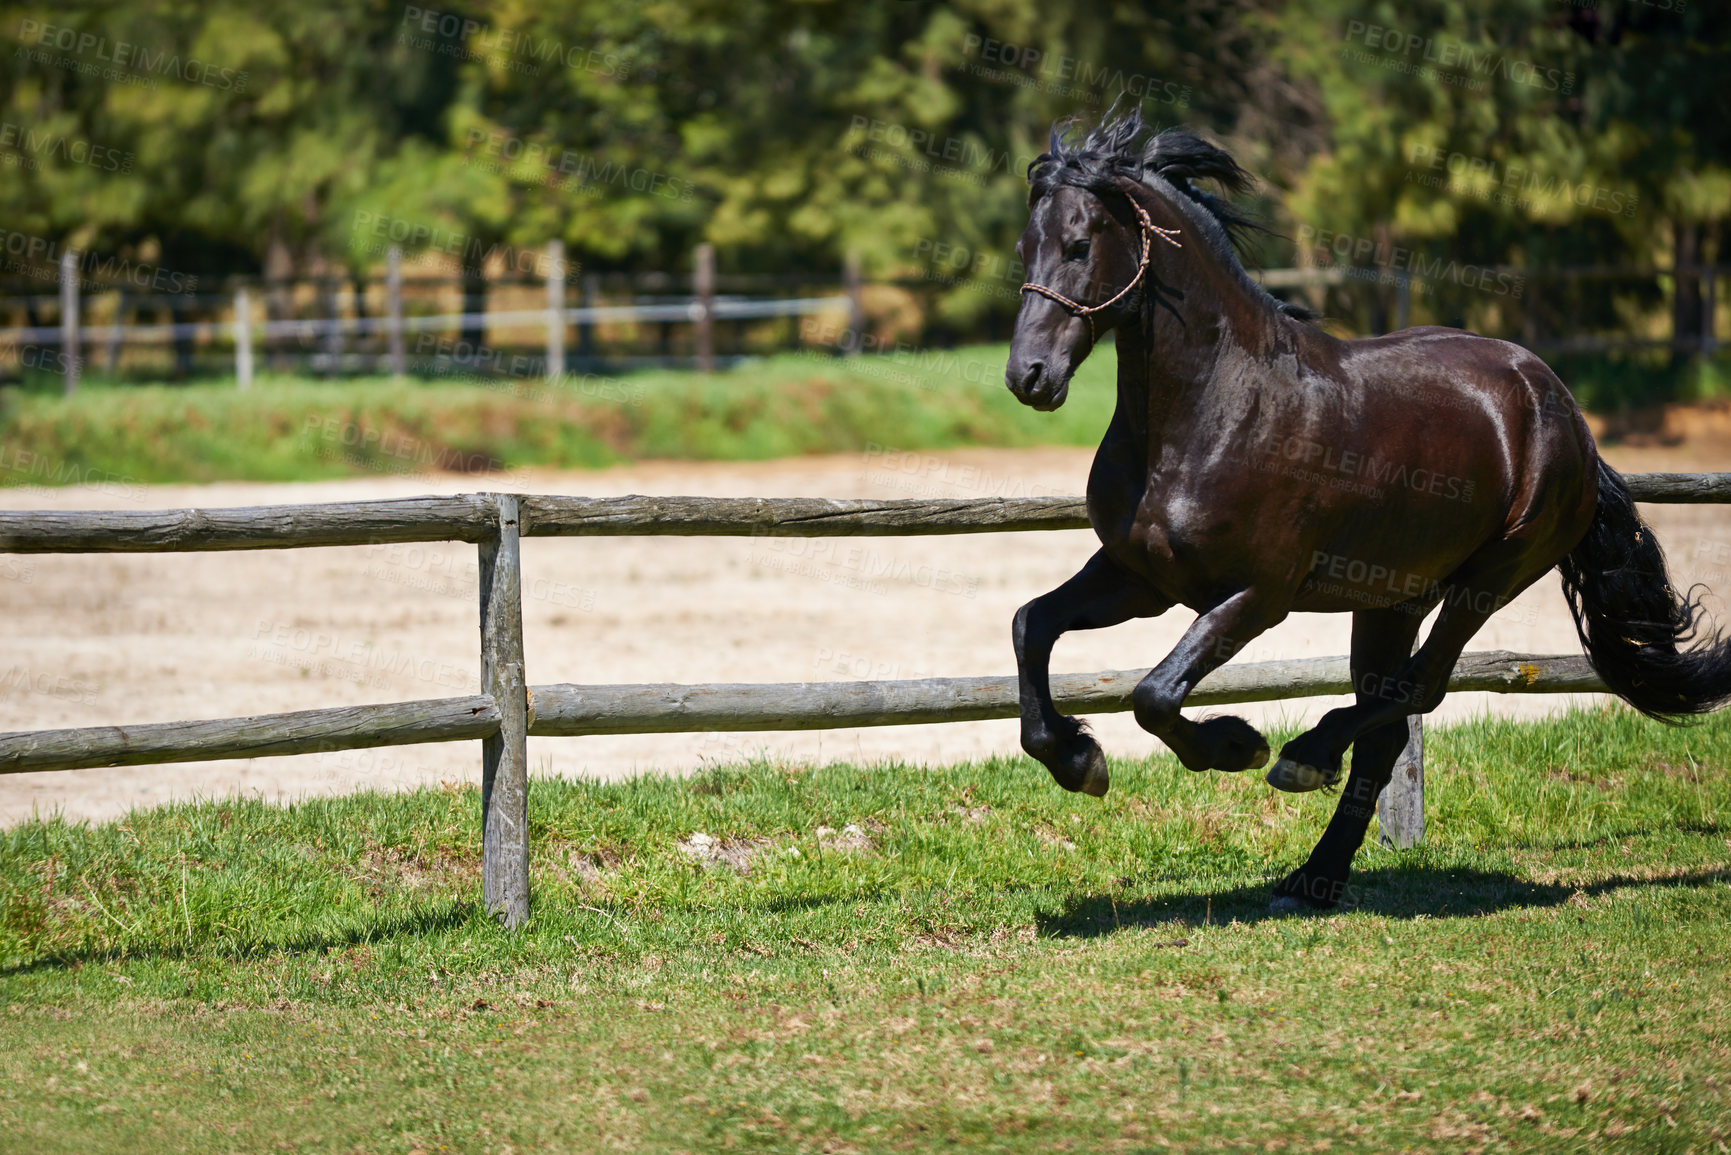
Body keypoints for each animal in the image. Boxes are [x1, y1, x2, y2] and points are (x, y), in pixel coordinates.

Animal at [1003, 115, 1731, 914]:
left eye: (1079, 245)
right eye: (1025, 248)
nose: (1028, 376)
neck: (1211, 411)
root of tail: (1564, 408)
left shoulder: (1257, 595)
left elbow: (1154, 695)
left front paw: (1238, 744)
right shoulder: (1141, 578)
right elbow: (1032, 625)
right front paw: (1078, 759)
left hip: (1490, 576)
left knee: (1420, 688)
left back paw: (1303, 761)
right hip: (1390, 599)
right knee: (1387, 726)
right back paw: (1311, 878)